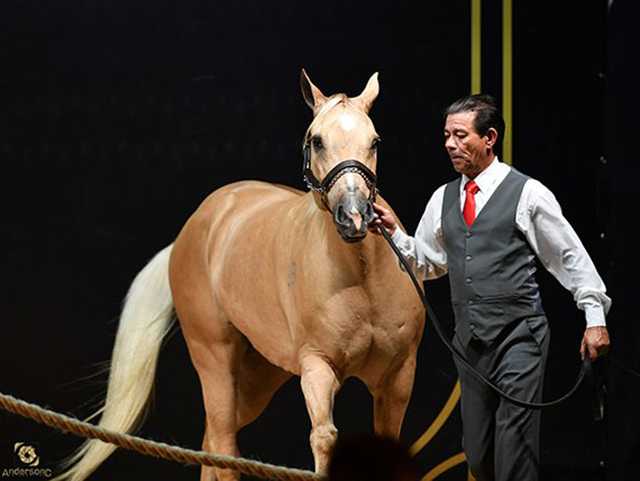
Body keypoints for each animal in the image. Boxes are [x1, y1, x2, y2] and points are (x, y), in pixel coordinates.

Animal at [58, 71, 424, 480]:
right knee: (223, 444)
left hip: (258, 376)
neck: (364, 280)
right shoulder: (317, 368)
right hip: (214, 359)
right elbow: (324, 438)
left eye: (374, 141)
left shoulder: (398, 377)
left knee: (212, 438)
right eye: (316, 140)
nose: (355, 215)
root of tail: (193, 229)